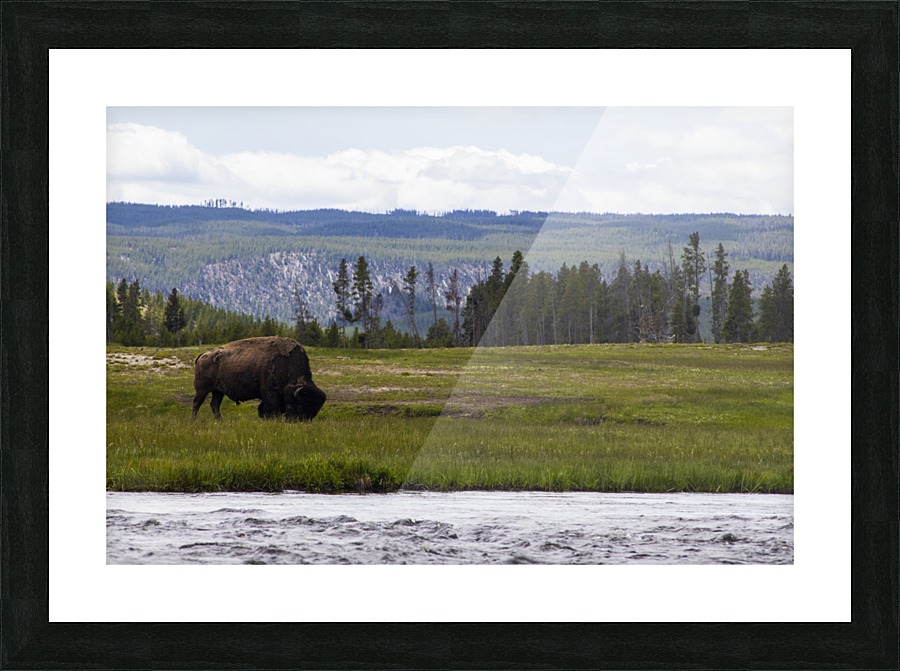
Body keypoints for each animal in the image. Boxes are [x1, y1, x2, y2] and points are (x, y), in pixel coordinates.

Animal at [192, 336, 326, 421]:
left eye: (315, 411)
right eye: (300, 406)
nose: (300, 421)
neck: (287, 364)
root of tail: (203, 355)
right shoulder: (271, 394)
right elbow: (271, 409)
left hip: (218, 391)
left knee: (214, 405)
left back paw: (220, 420)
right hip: (202, 389)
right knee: (197, 403)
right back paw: (194, 420)